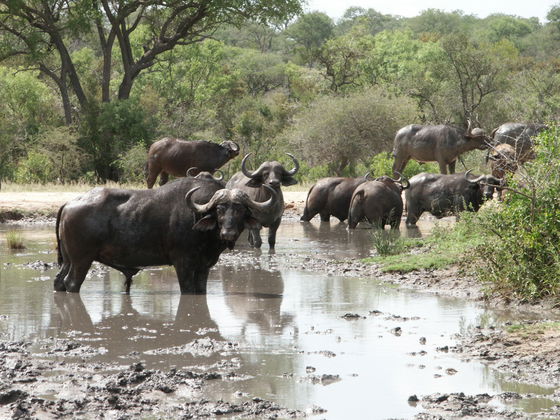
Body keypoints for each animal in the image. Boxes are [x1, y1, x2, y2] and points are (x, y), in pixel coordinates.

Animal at [55, 177, 276, 294]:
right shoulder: (182, 263)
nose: (228, 233)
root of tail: (69, 203)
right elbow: (187, 290)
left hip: (68, 260)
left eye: (240, 210)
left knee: (59, 281)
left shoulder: (204, 266)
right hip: (82, 260)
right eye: (220, 210)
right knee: (72, 283)